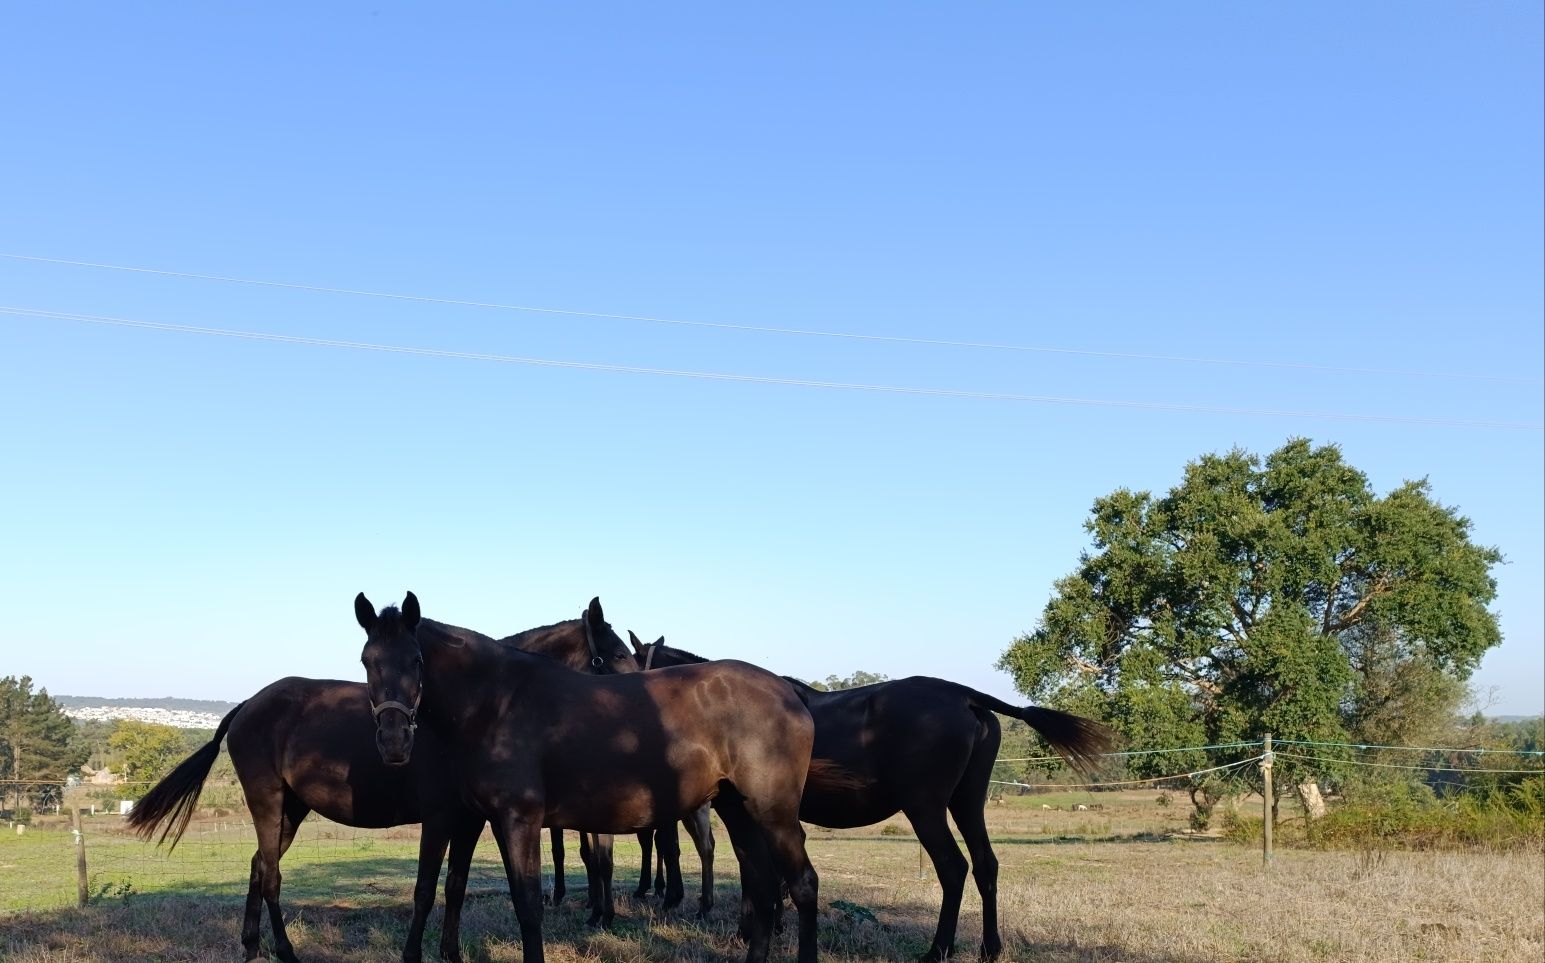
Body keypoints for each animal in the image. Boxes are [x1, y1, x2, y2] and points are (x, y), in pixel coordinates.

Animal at [126, 599, 639, 963]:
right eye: (615, 654)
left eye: (418, 662)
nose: (393, 743)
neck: (475, 708)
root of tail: (248, 704)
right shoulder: (440, 818)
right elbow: (425, 890)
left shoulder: (470, 821)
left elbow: (455, 887)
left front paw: (451, 954)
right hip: (267, 802)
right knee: (270, 874)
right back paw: (285, 952)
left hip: (292, 809)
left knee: (257, 866)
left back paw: (252, 948)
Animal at [358, 590, 821, 963]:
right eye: (367, 661)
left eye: (417, 660)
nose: (393, 741)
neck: (499, 702)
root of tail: (788, 692)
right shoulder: (494, 820)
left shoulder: (519, 818)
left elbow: (528, 906)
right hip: (736, 808)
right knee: (763, 887)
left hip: (773, 814)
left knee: (803, 885)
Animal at [633, 636, 1118, 958]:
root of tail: (965, 696)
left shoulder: (747, 813)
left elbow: (757, 872)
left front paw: (751, 929)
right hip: (966, 802)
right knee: (985, 865)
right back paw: (989, 948)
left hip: (925, 807)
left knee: (953, 868)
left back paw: (938, 950)